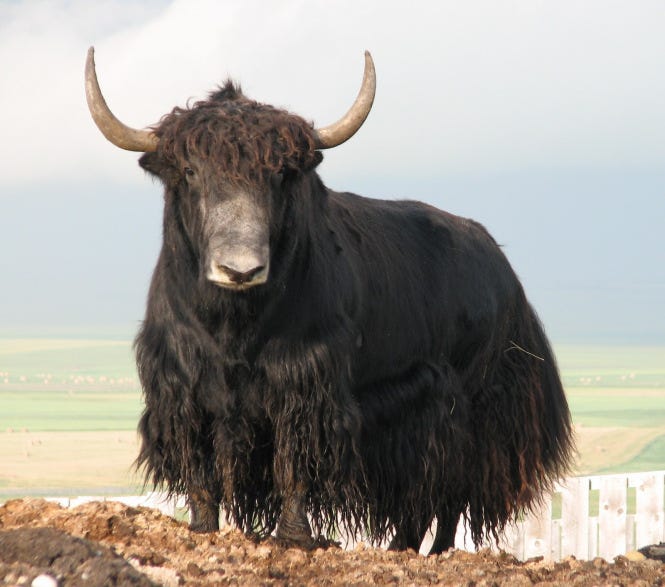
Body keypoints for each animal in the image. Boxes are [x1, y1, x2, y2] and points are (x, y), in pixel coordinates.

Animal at [84, 47, 573, 553]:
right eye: (190, 171)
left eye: (281, 176)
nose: (240, 269)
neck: (236, 325)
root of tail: (502, 266)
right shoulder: (182, 389)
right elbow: (200, 470)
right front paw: (202, 532)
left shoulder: (307, 382)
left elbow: (295, 463)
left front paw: (294, 539)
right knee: (421, 496)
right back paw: (399, 548)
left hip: (469, 406)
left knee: (449, 490)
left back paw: (434, 554)